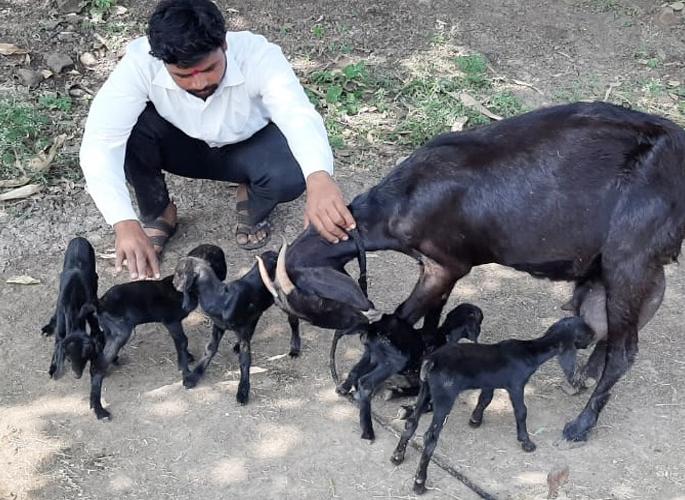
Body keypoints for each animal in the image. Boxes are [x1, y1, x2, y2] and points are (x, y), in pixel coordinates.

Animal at [42, 237, 100, 380]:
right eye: (68, 359)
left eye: (84, 357)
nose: (77, 375)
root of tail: (79, 238)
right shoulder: (61, 328)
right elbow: (57, 343)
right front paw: (53, 367)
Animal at [173, 250, 300, 405]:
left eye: (178, 273)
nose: (173, 283)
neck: (220, 297)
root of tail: (276, 253)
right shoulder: (218, 326)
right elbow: (210, 349)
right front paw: (193, 376)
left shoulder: (242, 329)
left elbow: (245, 360)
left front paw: (243, 391)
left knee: (293, 320)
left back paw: (295, 349)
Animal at [332, 303, 483, 441]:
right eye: (479, 320)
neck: (443, 335)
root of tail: (372, 328)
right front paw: (407, 408)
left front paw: (395, 395)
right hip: (394, 361)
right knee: (366, 383)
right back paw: (368, 430)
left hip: (371, 355)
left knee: (356, 372)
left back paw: (344, 389)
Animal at [391, 317, 595, 495]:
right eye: (586, 331)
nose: (595, 336)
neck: (530, 351)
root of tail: (431, 361)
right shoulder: (516, 384)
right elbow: (521, 411)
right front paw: (526, 442)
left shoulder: (490, 382)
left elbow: (485, 398)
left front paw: (475, 419)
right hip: (444, 396)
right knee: (430, 436)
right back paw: (419, 483)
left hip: (425, 390)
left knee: (411, 422)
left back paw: (397, 456)